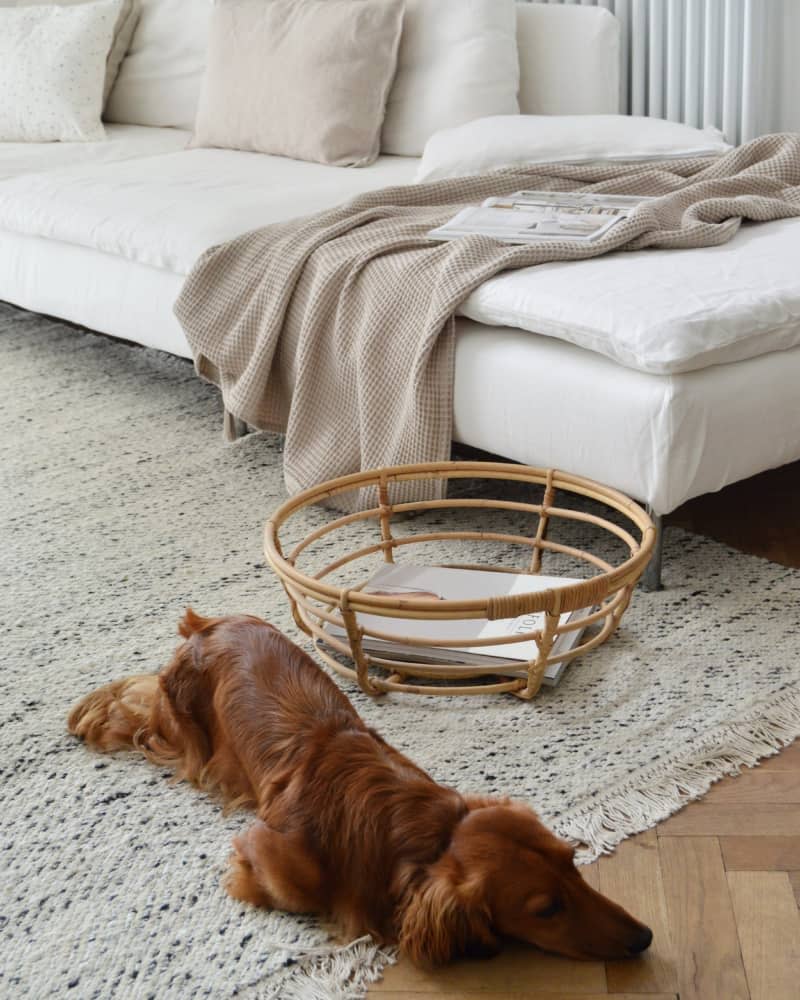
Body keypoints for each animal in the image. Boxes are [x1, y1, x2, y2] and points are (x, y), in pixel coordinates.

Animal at [69, 612, 652, 964]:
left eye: (572, 863)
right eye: (545, 909)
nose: (644, 937)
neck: (423, 831)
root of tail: (208, 625)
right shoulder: (270, 849)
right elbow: (274, 879)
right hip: (187, 736)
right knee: (141, 707)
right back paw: (93, 717)